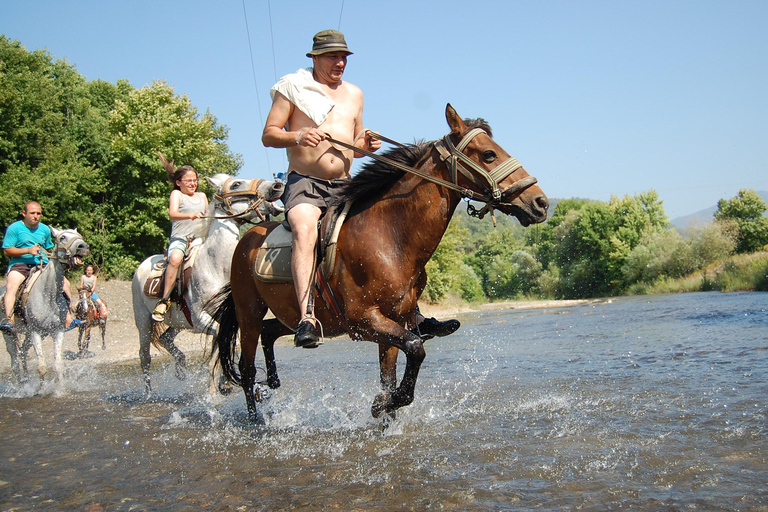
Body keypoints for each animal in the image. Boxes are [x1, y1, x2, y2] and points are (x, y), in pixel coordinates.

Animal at [1, 228, 90, 383]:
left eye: (79, 236)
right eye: (62, 237)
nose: (83, 247)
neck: (48, 295)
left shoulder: (57, 331)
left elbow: (58, 364)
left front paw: (60, 388)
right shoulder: (35, 331)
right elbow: (41, 367)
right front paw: (41, 388)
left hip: (32, 335)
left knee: (23, 352)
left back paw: (27, 379)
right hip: (9, 334)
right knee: (14, 362)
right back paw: (21, 385)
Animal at [131, 173, 284, 396]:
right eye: (236, 184)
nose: (276, 186)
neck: (215, 266)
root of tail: (142, 265)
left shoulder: (223, 317)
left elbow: (220, 349)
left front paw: (222, 384)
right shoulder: (200, 318)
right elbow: (218, 350)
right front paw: (214, 390)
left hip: (178, 322)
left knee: (165, 339)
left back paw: (181, 368)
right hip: (143, 321)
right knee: (145, 356)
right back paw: (149, 393)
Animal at [208, 104, 550, 423]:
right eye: (489, 154)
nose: (540, 203)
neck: (389, 236)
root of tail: (247, 237)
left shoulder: (394, 321)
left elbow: (391, 375)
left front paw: (386, 408)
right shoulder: (364, 321)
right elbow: (416, 349)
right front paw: (383, 404)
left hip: (294, 314)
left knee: (270, 333)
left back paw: (275, 382)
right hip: (249, 313)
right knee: (247, 367)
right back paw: (257, 420)